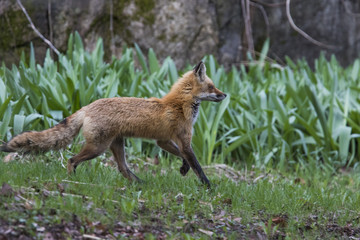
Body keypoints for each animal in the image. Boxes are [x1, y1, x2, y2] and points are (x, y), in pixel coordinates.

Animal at [0, 62, 225, 188]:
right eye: (212, 87)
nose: (225, 95)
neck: (178, 104)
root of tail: (87, 106)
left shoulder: (163, 141)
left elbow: (183, 157)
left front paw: (184, 169)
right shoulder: (184, 139)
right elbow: (197, 165)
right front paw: (209, 187)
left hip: (116, 145)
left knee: (123, 169)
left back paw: (141, 184)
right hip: (97, 148)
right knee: (72, 159)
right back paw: (73, 181)